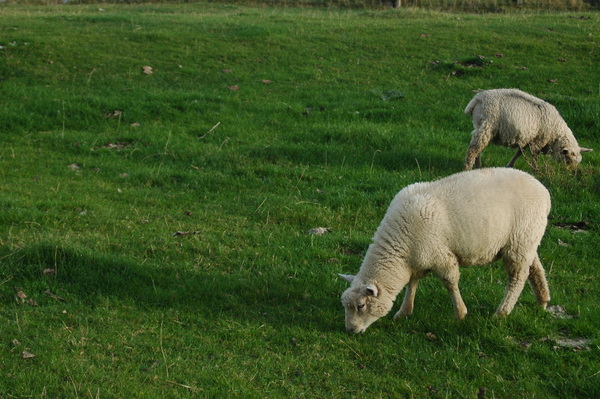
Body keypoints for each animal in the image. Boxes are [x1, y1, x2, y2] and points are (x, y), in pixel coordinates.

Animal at [338, 169, 548, 334]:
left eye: (361, 305)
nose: (350, 330)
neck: (400, 248)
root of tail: (543, 190)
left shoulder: (440, 256)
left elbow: (450, 283)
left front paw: (460, 314)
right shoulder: (419, 258)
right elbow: (412, 283)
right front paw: (404, 311)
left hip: (519, 243)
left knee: (517, 277)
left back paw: (502, 312)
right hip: (528, 239)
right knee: (535, 268)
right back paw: (542, 300)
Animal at [464, 89, 592, 170]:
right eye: (568, 161)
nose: (571, 173)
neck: (556, 134)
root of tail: (478, 98)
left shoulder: (527, 139)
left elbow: (519, 153)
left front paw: (510, 165)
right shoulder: (538, 141)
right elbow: (535, 157)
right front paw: (536, 171)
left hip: (481, 126)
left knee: (478, 149)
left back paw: (478, 167)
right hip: (487, 125)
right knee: (473, 150)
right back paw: (468, 168)